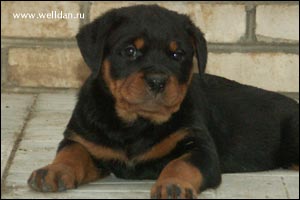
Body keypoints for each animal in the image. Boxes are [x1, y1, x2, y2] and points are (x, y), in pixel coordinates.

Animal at [27, 4, 298, 198]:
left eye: (177, 54)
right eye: (130, 51)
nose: (157, 81)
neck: (136, 124)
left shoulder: (200, 147)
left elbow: (181, 165)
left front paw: (173, 185)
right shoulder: (83, 138)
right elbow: (72, 152)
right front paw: (53, 171)